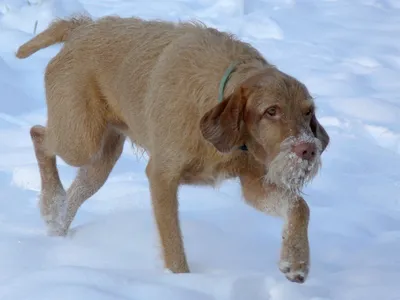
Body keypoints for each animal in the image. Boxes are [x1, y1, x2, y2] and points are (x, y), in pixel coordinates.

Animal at [15, 14, 328, 284]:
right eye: (271, 111)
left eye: (308, 112)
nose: (308, 149)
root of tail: (80, 27)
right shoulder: (162, 177)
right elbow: (172, 240)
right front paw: (181, 283)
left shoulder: (254, 183)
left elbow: (299, 207)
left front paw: (296, 261)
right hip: (80, 138)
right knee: (39, 135)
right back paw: (51, 201)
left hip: (103, 158)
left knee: (77, 190)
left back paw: (56, 223)